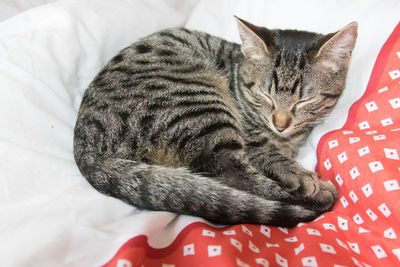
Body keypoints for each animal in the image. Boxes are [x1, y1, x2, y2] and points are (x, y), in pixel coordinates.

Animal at [73, 15, 358, 227]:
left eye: (303, 100)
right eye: (265, 94)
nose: (280, 123)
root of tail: (83, 145)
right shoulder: (253, 140)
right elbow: (270, 155)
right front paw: (299, 175)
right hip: (199, 104)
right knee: (232, 174)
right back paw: (318, 195)